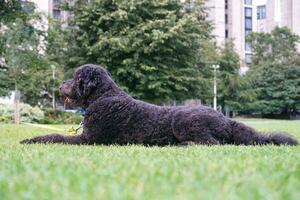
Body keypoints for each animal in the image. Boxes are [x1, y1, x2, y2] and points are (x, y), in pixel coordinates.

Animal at [20, 65, 298, 146]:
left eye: (75, 78)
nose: (60, 85)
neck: (105, 97)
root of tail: (226, 119)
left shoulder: (89, 140)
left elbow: (54, 136)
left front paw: (30, 140)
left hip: (184, 121)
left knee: (211, 144)